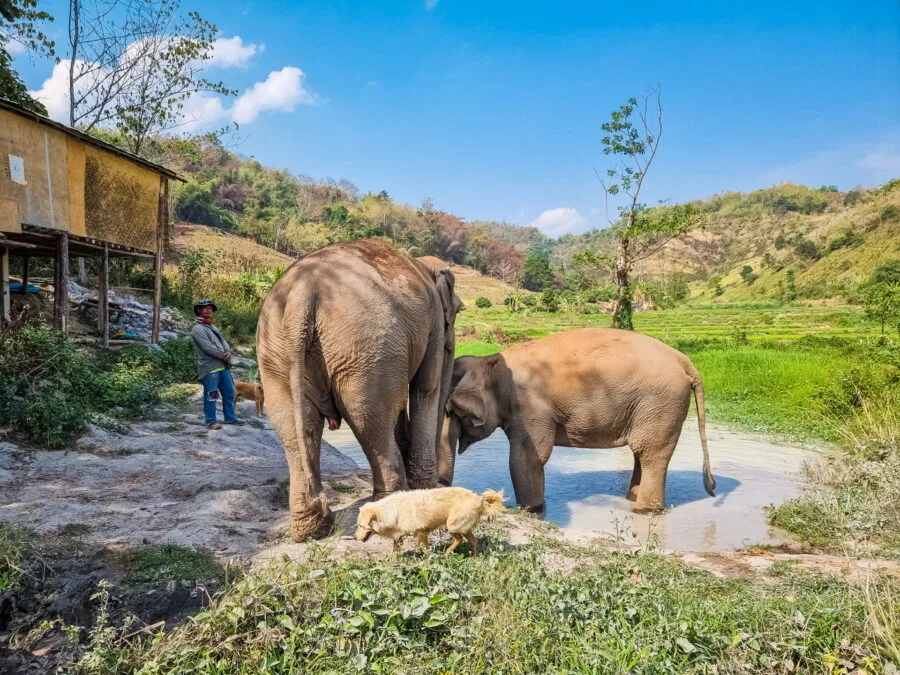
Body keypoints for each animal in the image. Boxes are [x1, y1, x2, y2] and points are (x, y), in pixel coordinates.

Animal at [257, 240, 461, 541]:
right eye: (459, 310)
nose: (443, 482)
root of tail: (300, 297)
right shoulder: (433, 323)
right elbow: (425, 387)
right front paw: (424, 486)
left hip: (277, 354)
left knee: (294, 428)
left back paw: (313, 529)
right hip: (367, 346)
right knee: (370, 417)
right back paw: (387, 510)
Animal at [438, 327, 715, 513]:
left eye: (452, 411)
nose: (442, 486)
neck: (492, 362)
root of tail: (685, 361)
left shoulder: (529, 408)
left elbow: (527, 457)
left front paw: (532, 509)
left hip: (661, 404)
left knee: (651, 454)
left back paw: (645, 511)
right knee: (642, 453)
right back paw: (633, 501)